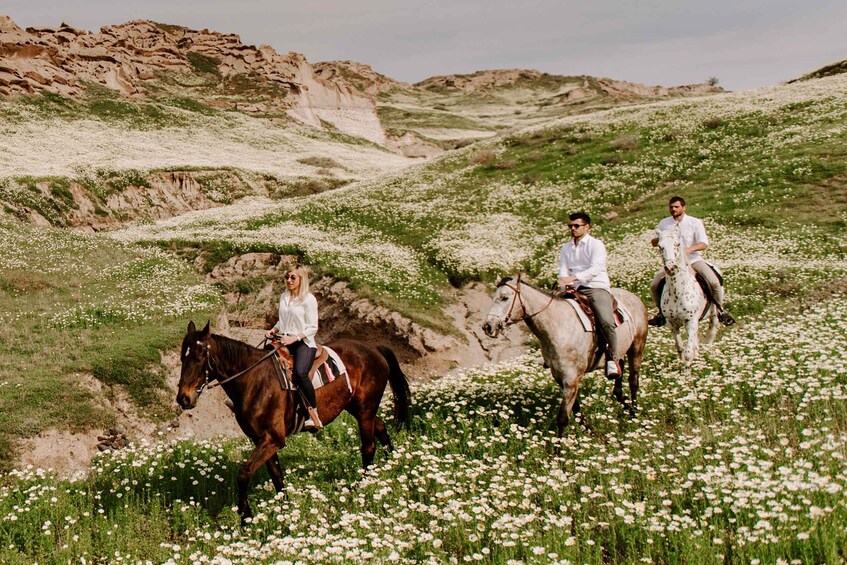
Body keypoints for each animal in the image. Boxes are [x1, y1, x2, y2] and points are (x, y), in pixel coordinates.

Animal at [176, 320, 410, 524]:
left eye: (199, 357)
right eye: (182, 357)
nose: (183, 398)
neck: (254, 381)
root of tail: (375, 348)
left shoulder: (273, 439)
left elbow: (244, 474)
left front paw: (246, 517)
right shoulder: (261, 440)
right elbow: (276, 475)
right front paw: (285, 509)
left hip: (365, 410)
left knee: (368, 447)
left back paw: (363, 486)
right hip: (357, 408)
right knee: (381, 428)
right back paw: (391, 466)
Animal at [484, 276, 648, 434]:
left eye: (505, 298)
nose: (487, 326)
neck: (559, 327)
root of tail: (635, 297)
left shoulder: (571, 379)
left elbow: (563, 418)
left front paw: (559, 444)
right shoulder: (560, 376)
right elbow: (575, 408)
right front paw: (587, 427)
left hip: (637, 348)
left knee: (633, 381)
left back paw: (634, 414)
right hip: (620, 352)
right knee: (619, 376)